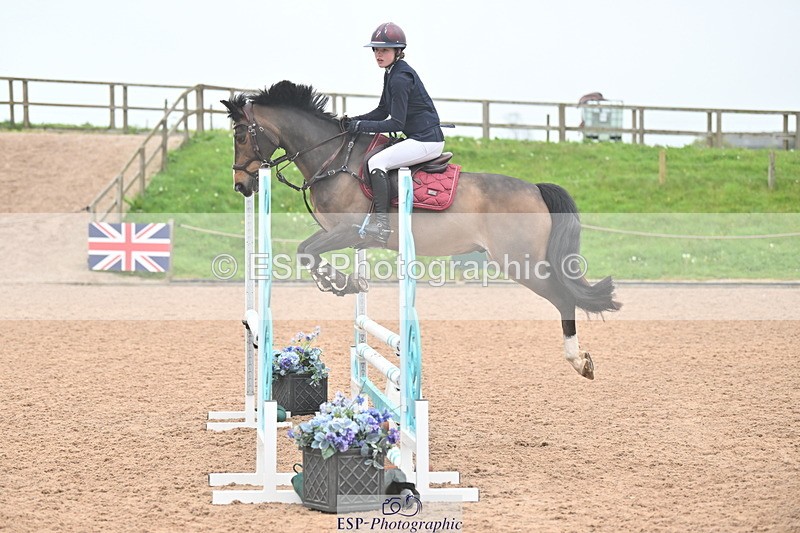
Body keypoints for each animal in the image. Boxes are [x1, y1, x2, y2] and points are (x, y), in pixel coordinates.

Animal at [220, 80, 621, 380]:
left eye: (240, 136)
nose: (241, 185)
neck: (333, 158)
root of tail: (536, 189)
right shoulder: (341, 234)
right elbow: (307, 252)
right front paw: (343, 282)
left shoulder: (351, 230)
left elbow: (306, 250)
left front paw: (342, 283)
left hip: (521, 263)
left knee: (564, 298)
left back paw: (579, 361)